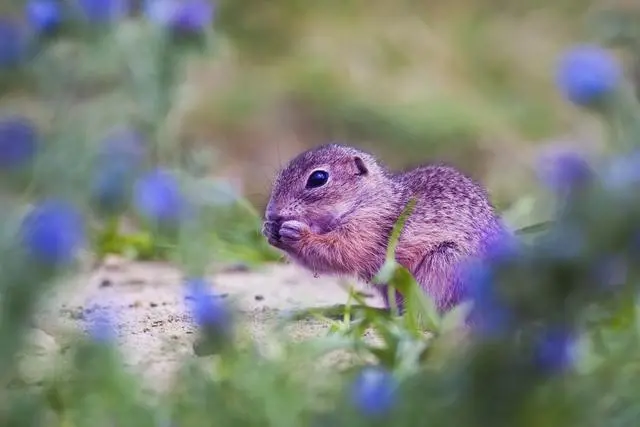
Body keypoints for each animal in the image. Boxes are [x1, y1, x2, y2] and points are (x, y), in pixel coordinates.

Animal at [260, 145, 504, 314]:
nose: (271, 213)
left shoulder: (366, 229)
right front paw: (270, 231)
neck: (368, 199)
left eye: (318, 178)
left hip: (444, 261)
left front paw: (296, 234)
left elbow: (338, 251)